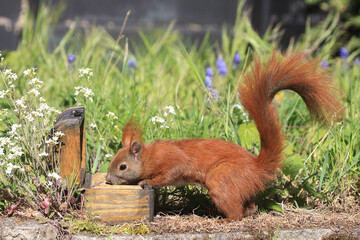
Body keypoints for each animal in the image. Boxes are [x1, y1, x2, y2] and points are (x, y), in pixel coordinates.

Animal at [105, 51, 342, 220]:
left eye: (122, 167)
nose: (108, 180)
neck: (149, 155)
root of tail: (258, 168)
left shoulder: (172, 160)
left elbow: (170, 174)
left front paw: (147, 182)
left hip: (221, 179)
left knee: (236, 213)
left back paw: (224, 219)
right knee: (250, 207)